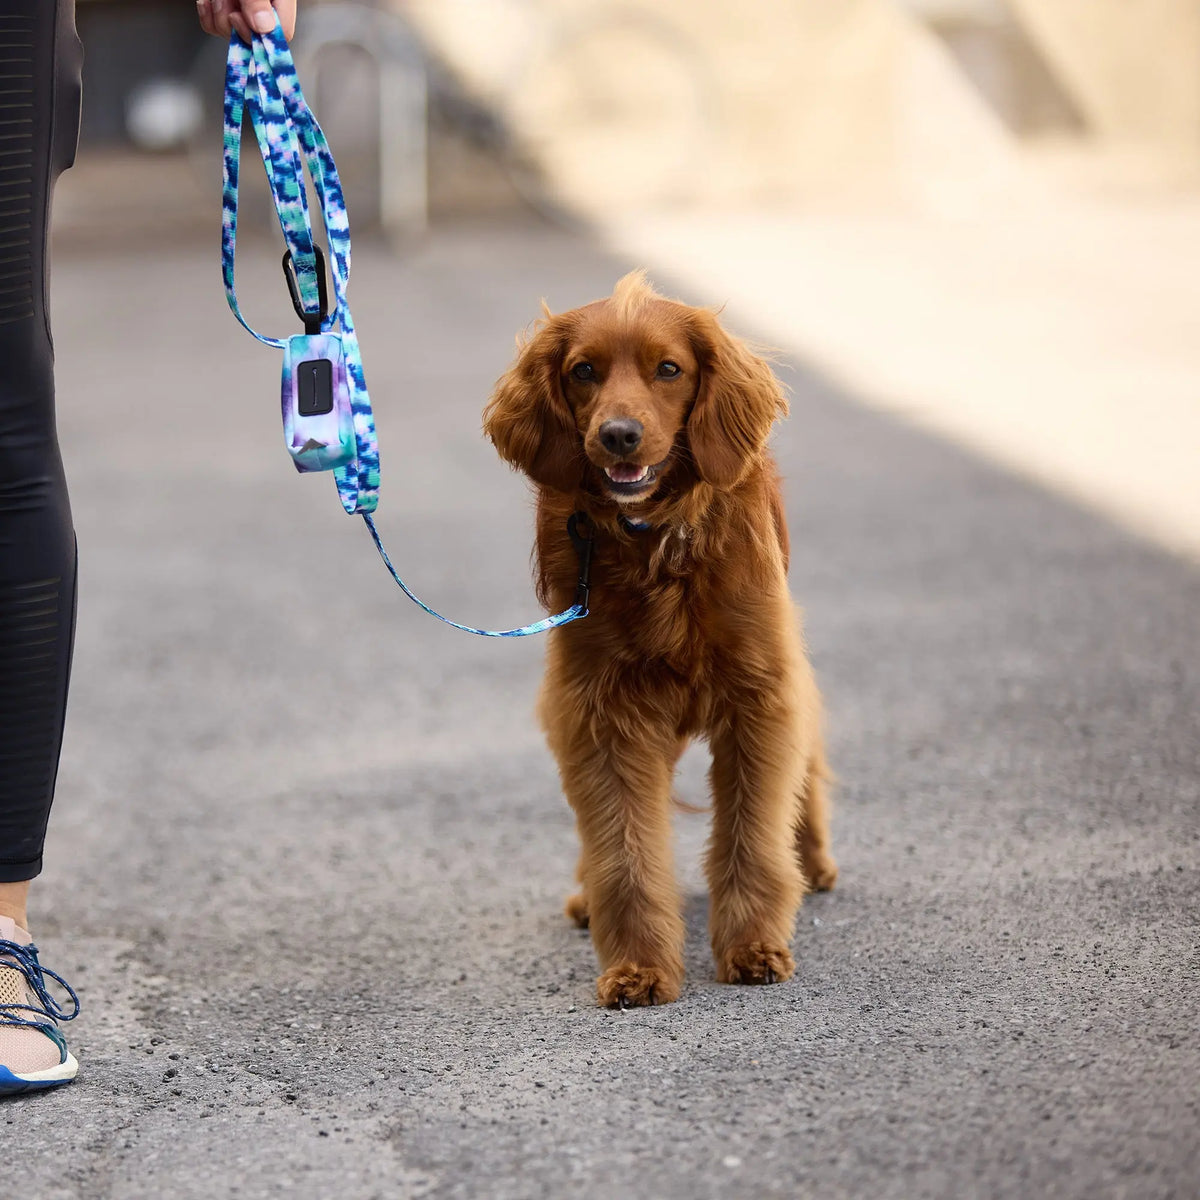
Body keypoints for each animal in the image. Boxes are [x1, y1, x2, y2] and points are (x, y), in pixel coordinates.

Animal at [480, 270, 835, 1003]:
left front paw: (753, 947)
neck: (656, 539)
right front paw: (638, 966)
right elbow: (624, 850)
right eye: (583, 371)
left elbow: (753, 835)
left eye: (669, 369)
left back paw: (813, 860)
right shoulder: (602, 710)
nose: (618, 435)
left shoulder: (761, 695)